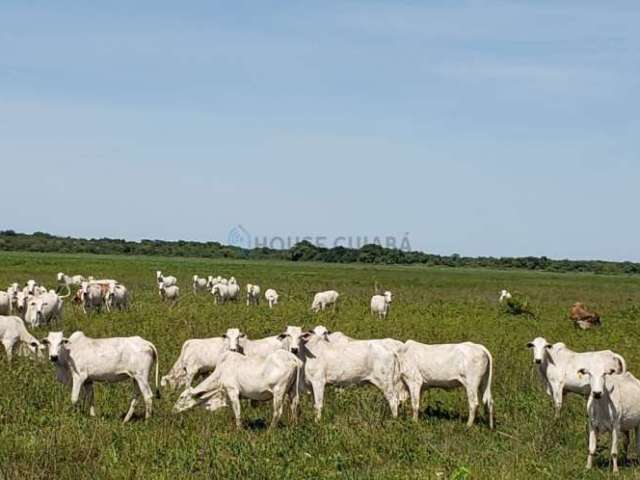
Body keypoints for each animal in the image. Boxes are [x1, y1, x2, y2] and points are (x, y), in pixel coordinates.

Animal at [172, 346, 302, 430]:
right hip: (292, 391)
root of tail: (293, 358)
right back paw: (294, 427)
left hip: (279, 391)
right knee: (294, 407)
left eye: (182, 397)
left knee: (277, 412)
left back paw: (270, 431)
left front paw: (239, 430)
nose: (174, 409)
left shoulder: (232, 391)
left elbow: (237, 413)